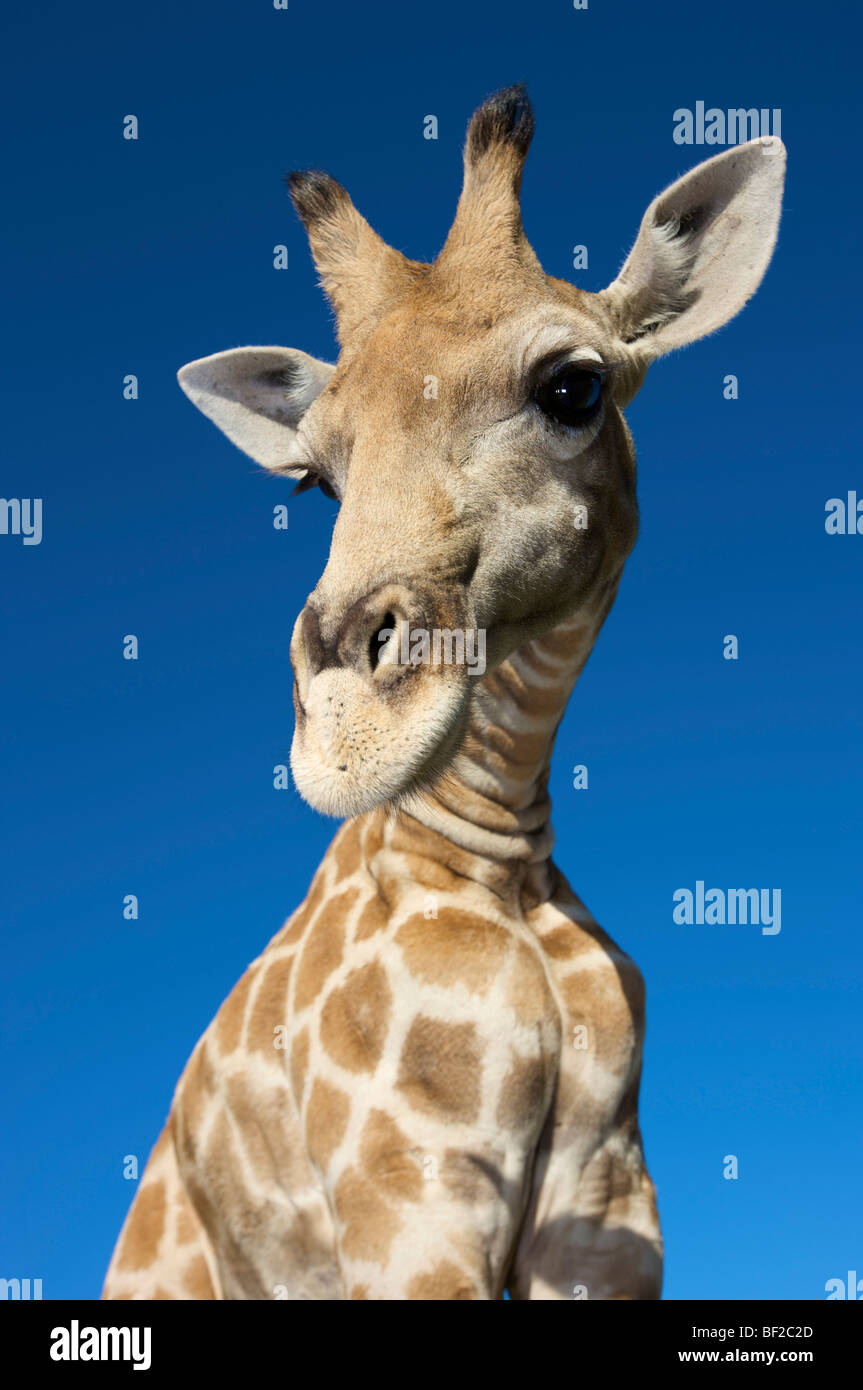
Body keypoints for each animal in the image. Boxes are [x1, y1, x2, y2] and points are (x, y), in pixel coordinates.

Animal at [100, 84, 778, 1301]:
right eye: (313, 479)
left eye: (572, 387)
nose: (345, 736)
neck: (497, 857)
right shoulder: (405, 1186)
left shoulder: (605, 1199)